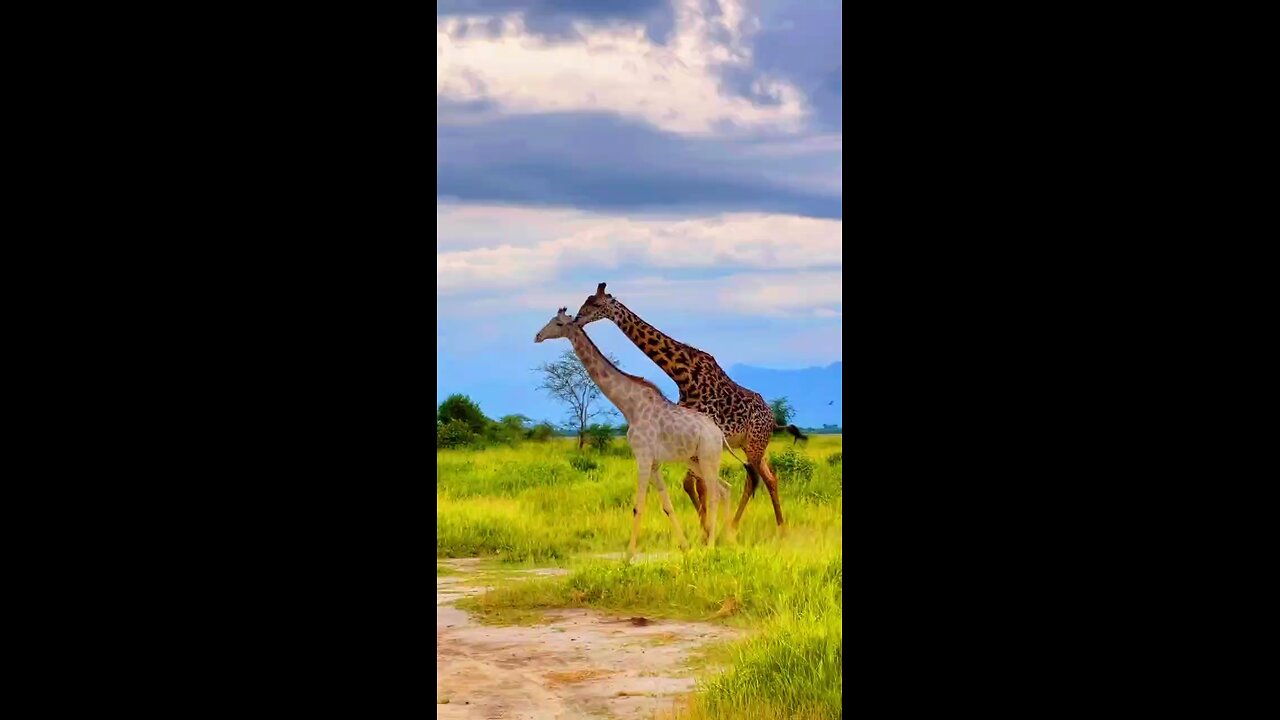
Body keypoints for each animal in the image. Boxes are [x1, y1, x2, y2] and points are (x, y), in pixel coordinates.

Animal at [532, 304, 737, 558]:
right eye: (551, 319)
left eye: (559, 323)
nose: (538, 336)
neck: (629, 406)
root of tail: (719, 434)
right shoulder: (654, 462)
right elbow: (667, 505)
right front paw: (685, 547)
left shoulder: (642, 457)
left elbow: (638, 506)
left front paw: (628, 556)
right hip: (694, 459)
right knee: (725, 488)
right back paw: (729, 541)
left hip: (708, 456)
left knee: (715, 494)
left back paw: (710, 546)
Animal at [570, 283, 798, 530]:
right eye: (585, 300)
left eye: (595, 303)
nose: (577, 318)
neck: (683, 374)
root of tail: (773, 418)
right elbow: (692, 485)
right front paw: (703, 526)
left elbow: (699, 485)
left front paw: (707, 527)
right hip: (752, 445)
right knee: (769, 477)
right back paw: (775, 527)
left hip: (755, 444)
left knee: (754, 479)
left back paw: (744, 525)